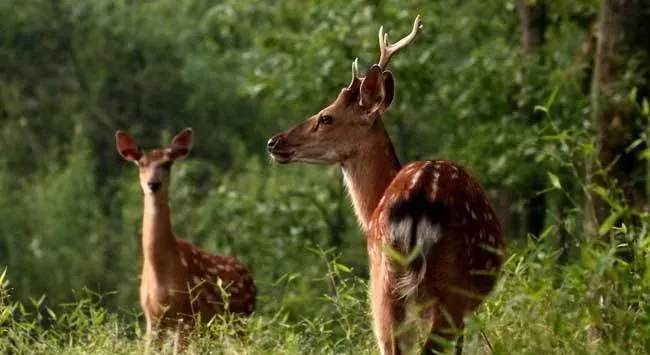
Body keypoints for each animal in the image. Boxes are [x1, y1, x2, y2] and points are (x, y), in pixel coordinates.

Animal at [116, 128, 256, 354]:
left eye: (167, 163)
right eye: (141, 163)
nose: (153, 184)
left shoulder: (188, 315)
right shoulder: (153, 319)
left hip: (241, 318)